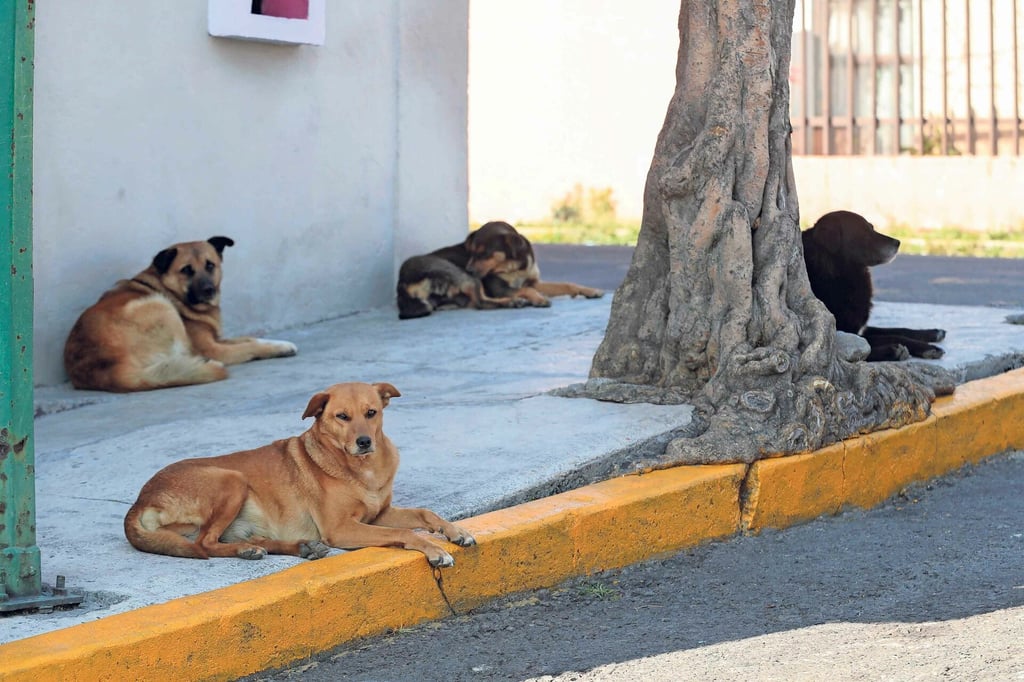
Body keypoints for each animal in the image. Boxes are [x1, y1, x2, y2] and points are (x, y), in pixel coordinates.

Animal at [62, 236, 296, 391]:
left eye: (210, 265)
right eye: (186, 270)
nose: (209, 290)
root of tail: (108, 370)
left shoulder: (216, 338)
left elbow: (250, 338)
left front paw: (282, 345)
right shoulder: (212, 347)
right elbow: (249, 346)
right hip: (161, 306)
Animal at [123, 378, 475, 565]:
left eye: (371, 413)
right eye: (342, 416)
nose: (364, 442)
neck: (361, 469)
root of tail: (140, 500)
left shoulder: (379, 513)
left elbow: (425, 513)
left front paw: (456, 532)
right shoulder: (341, 528)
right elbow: (406, 533)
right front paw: (434, 550)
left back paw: (299, 547)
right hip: (232, 480)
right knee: (204, 544)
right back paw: (249, 550)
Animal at [391, 222, 598, 319]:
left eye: (483, 254)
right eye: (471, 252)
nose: (469, 268)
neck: (515, 268)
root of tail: (401, 285)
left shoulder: (535, 281)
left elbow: (566, 284)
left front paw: (591, 290)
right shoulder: (499, 288)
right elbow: (527, 289)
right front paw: (539, 299)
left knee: (475, 302)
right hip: (459, 275)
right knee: (481, 302)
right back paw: (514, 302)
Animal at [802, 209, 946, 360]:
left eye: (872, 227)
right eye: (865, 232)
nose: (898, 242)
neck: (834, 271)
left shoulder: (862, 328)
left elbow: (899, 330)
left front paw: (932, 332)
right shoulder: (843, 331)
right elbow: (891, 337)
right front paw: (927, 347)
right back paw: (893, 351)